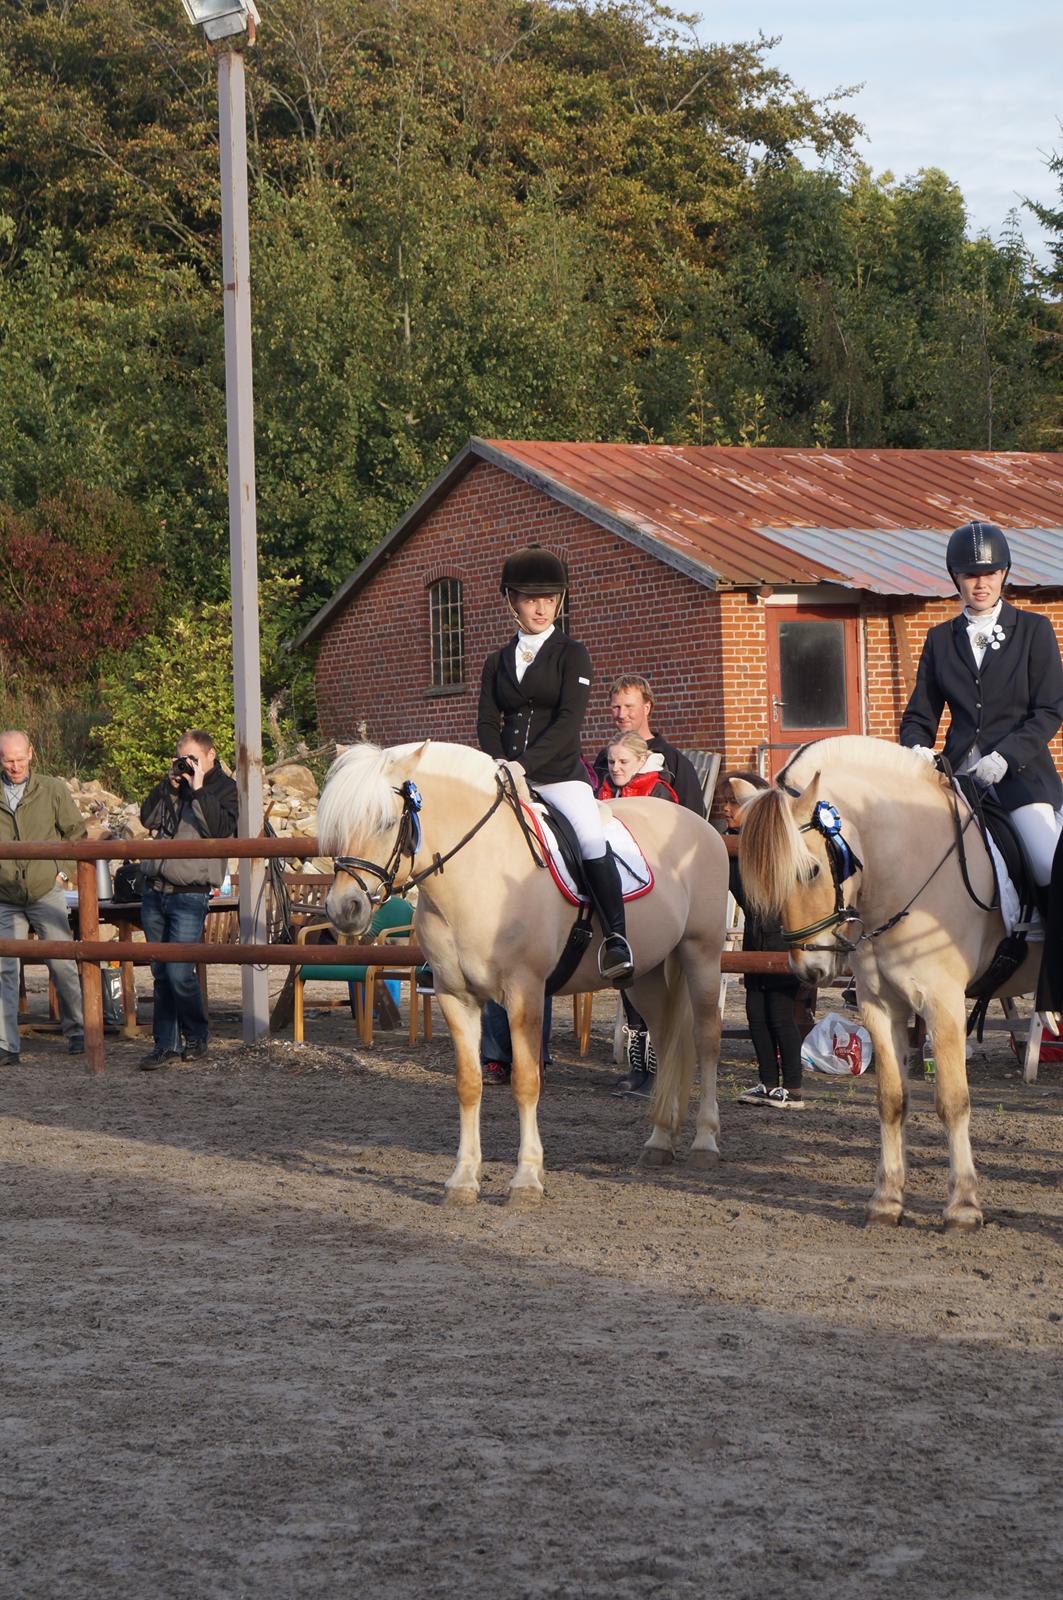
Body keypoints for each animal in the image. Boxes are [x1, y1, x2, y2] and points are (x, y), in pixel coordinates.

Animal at [315, 742, 730, 1203]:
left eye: (388, 822)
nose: (344, 909)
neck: (478, 875)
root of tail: (698, 823)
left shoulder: (524, 993)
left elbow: (527, 1082)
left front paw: (527, 1179)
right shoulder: (455, 997)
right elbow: (468, 1084)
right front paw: (463, 1180)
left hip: (701, 954)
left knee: (705, 1041)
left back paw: (705, 1143)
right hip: (646, 976)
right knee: (667, 1038)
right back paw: (659, 1141)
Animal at [739, 732, 1037, 1228]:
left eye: (812, 870)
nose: (808, 970)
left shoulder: (943, 1002)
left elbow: (952, 1100)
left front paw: (962, 1206)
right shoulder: (880, 1005)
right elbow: (892, 1099)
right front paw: (887, 1200)